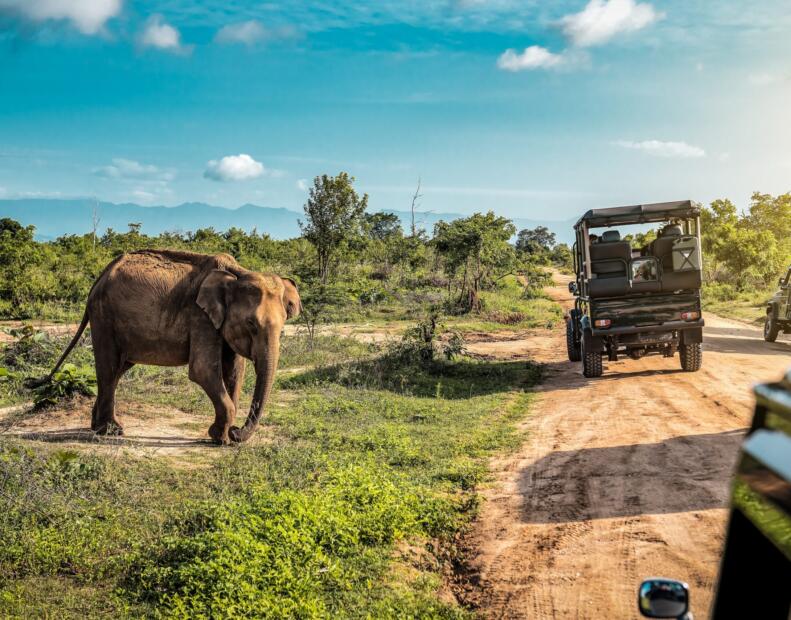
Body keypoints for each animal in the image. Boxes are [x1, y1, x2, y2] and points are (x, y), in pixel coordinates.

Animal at [44, 249, 302, 444]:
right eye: (251, 324)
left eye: (283, 324)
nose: (237, 431)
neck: (237, 273)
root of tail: (98, 279)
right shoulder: (200, 316)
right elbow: (203, 370)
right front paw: (220, 438)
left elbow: (235, 372)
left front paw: (223, 438)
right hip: (104, 317)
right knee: (108, 368)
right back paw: (111, 431)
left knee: (117, 369)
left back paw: (98, 427)